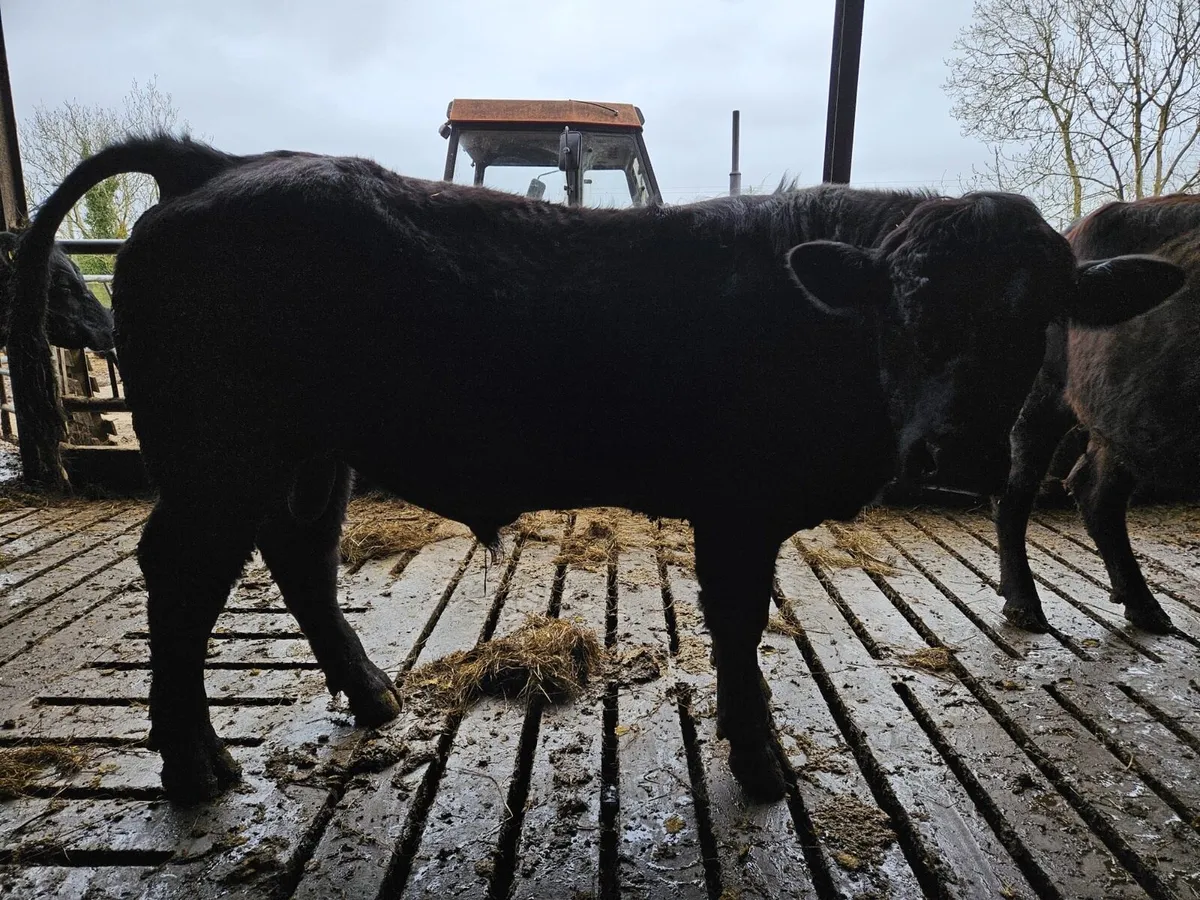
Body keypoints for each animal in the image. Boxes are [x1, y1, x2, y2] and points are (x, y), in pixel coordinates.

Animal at [996, 194, 1200, 633]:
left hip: (1117, 424)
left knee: (1095, 491)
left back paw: (1147, 609)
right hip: (1043, 398)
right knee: (1018, 489)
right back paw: (1025, 607)